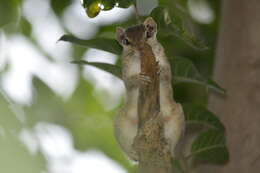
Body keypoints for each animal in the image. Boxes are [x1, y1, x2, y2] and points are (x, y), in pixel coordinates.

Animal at [114, 17, 185, 161]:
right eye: (126, 41)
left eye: (148, 33)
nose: (140, 48)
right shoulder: (125, 70)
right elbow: (129, 83)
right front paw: (139, 78)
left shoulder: (164, 59)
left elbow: (167, 75)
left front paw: (159, 69)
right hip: (120, 122)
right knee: (131, 151)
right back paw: (133, 151)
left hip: (177, 116)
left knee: (171, 144)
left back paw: (167, 146)